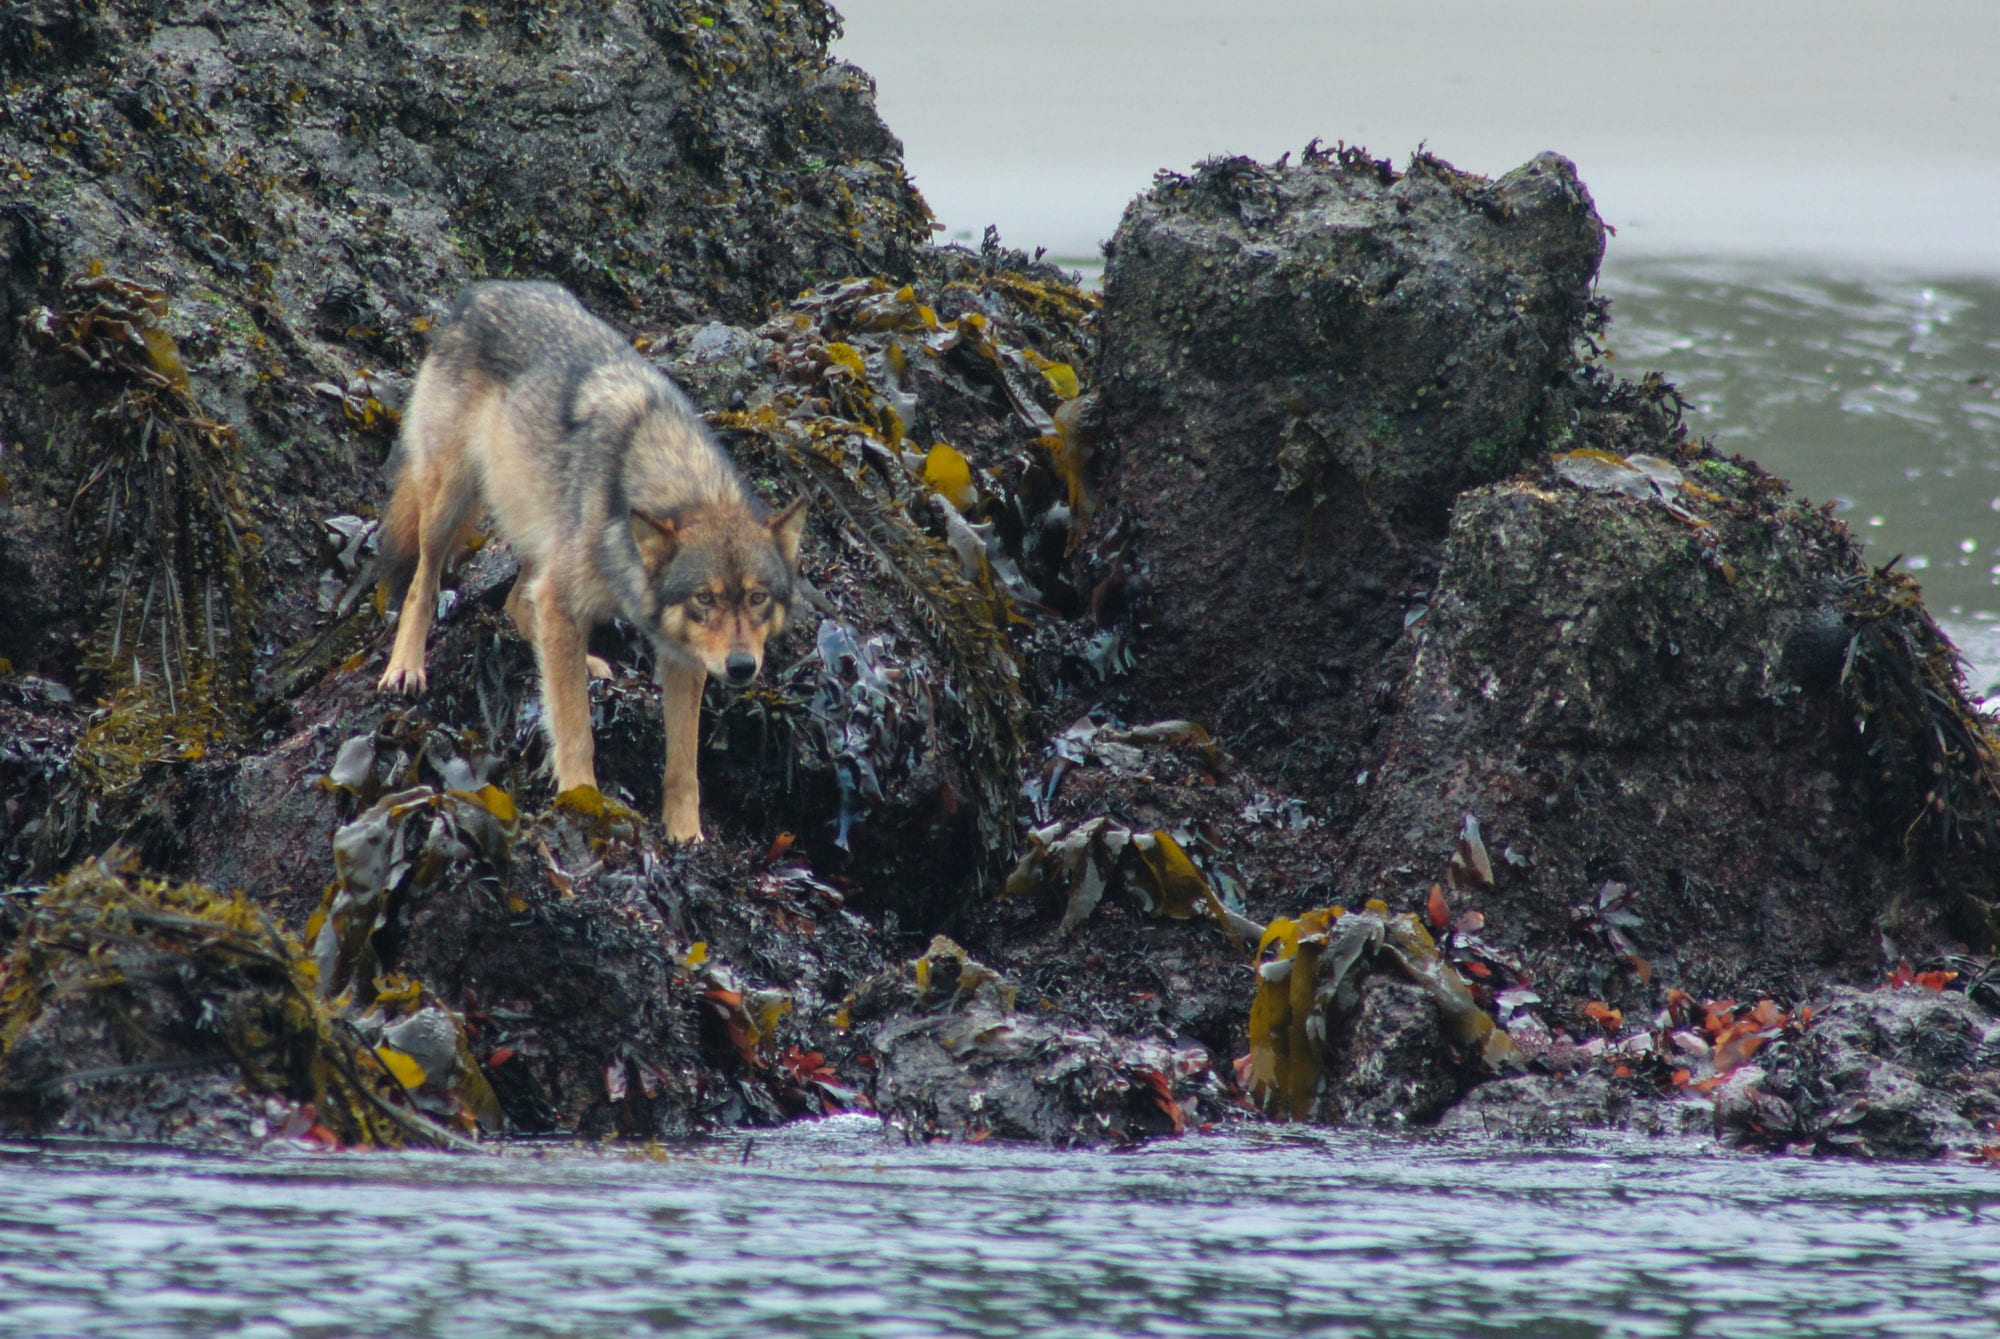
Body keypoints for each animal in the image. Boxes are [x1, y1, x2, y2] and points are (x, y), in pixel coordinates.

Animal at [378, 281, 800, 843]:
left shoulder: (683, 655)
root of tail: (483, 291)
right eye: (704, 599)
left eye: (756, 598)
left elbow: (683, 763)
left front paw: (686, 835)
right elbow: (576, 729)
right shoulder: (563, 599)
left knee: (518, 604)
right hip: (452, 503)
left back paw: (588, 662)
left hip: (541, 529)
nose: (740, 667)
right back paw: (406, 666)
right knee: (423, 583)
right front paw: (582, 799)